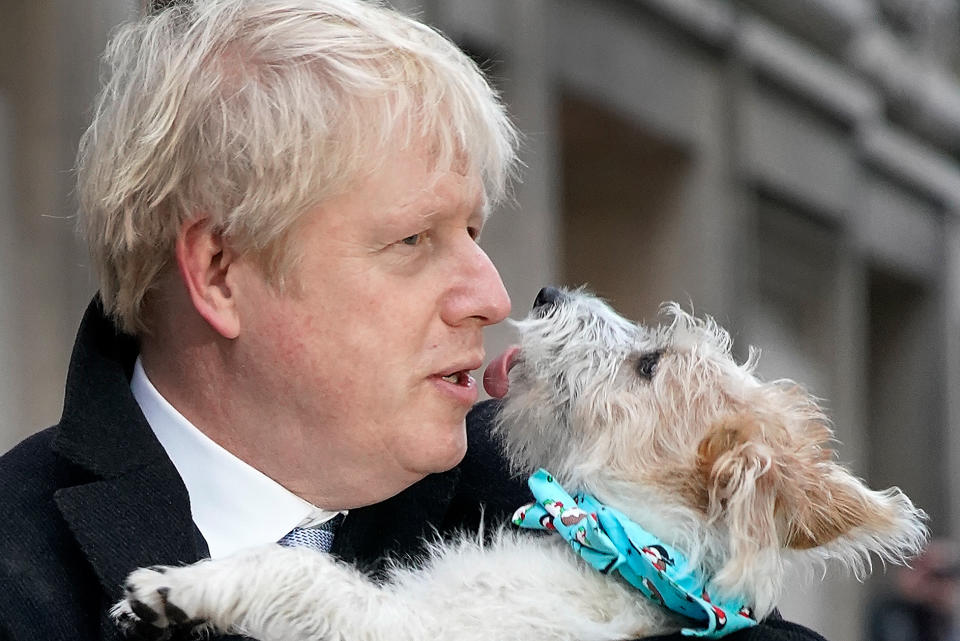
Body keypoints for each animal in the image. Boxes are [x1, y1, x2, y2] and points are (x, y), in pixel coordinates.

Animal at [114, 288, 928, 640]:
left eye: (649, 365)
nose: (546, 290)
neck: (624, 547)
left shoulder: (413, 631)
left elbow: (306, 573)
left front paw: (179, 587)